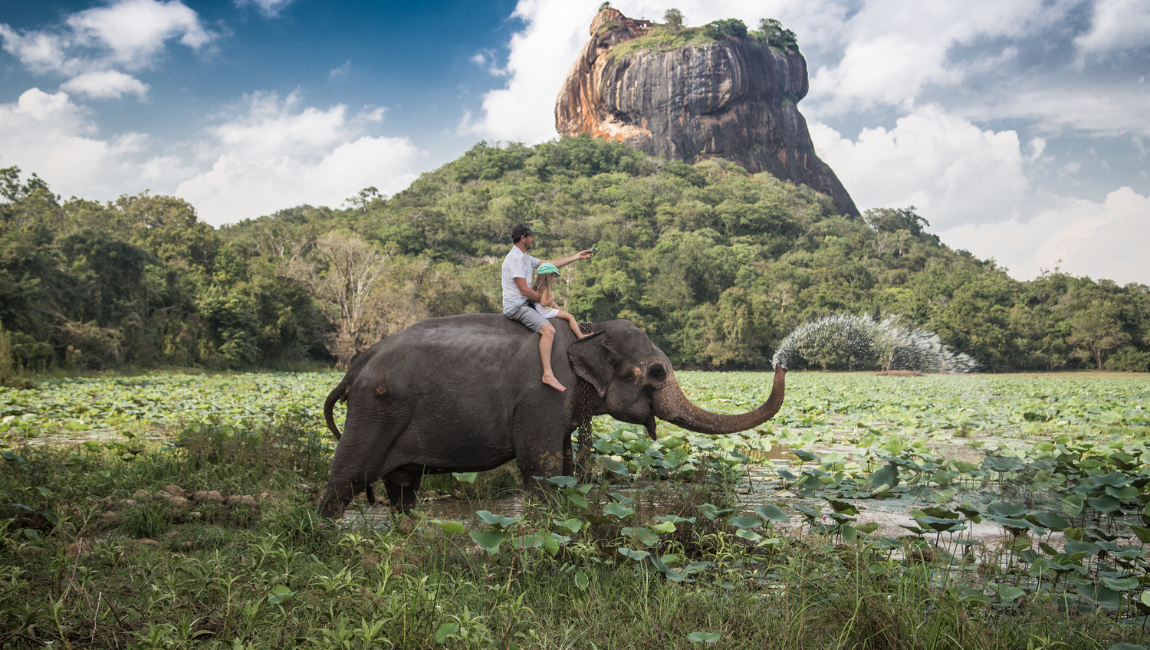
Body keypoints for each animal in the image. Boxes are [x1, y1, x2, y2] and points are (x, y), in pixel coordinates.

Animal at [318, 314, 786, 518]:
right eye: (655, 372)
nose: (781, 362)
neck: (588, 332)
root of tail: (355, 366)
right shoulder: (543, 394)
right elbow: (540, 467)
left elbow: (563, 466)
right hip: (375, 410)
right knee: (348, 477)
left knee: (402, 486)